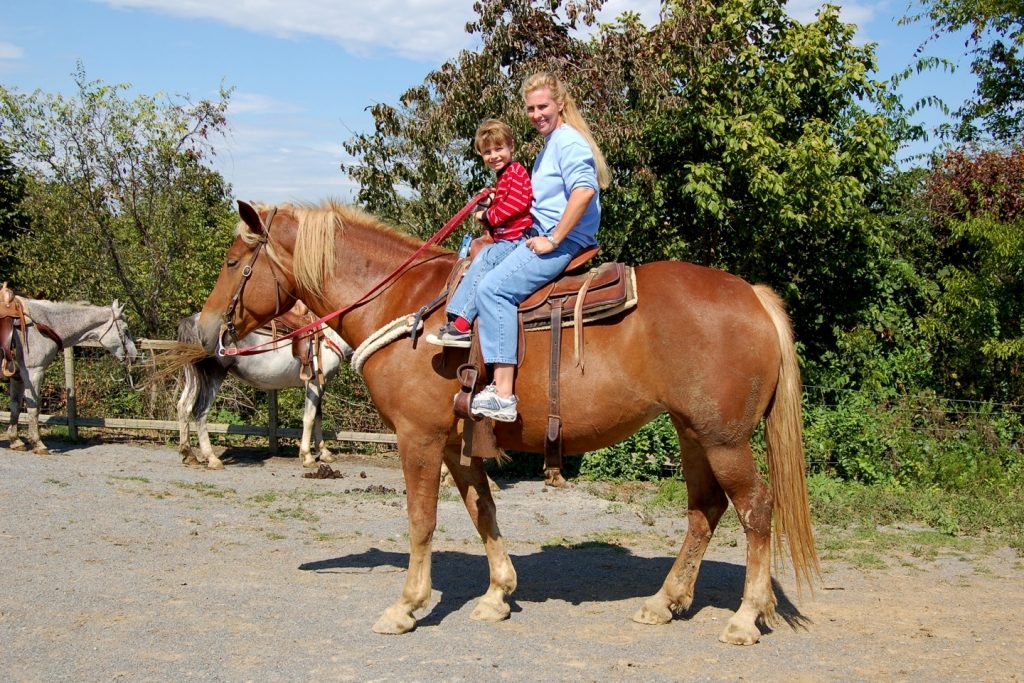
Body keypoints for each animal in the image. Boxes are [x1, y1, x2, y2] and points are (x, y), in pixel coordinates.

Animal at [4, 296, 138, 454]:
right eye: (125, 330)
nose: (134, 356)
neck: (43, 323)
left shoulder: (17, 376)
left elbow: (15, 406)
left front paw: (15, 441)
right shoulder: (33, 373)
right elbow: (33, 408)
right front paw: (38, 443)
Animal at [176, 315, 352, 471]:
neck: (328, 336)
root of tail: (192, 322)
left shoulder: (320, 384)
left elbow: (317, 417)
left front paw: (324, 453)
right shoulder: (315, 384)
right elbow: (309, 418)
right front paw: (307, 457)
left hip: (194, 377)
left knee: (183, 406)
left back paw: (189, 455)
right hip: (214, 376)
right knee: (200, 411)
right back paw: (212, 459)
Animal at [195, 198, 819, 647]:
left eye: (232, 263)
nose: (203, 330)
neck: (408, 308)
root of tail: (754, 296)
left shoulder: (418, 438)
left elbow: (421, 520)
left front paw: (406, 606)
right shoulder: (457, 443)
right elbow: (482, 511)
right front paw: (498, 594)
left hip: (724, 440)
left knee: (755, 510)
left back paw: (744, 618)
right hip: (694, 434)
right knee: (704, 511)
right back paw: (664, 603)